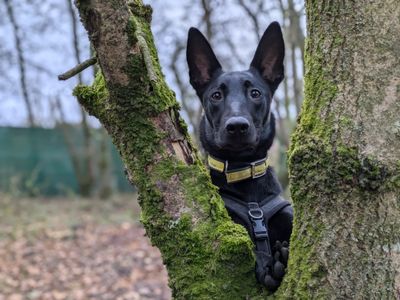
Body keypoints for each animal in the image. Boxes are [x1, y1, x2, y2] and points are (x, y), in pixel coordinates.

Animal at [187, 22, 294, 290]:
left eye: (255, 93)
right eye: (216, 95)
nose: (237, 126)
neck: (244, 173)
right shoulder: (228, 226)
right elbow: (250, 248)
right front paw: (270, 264)